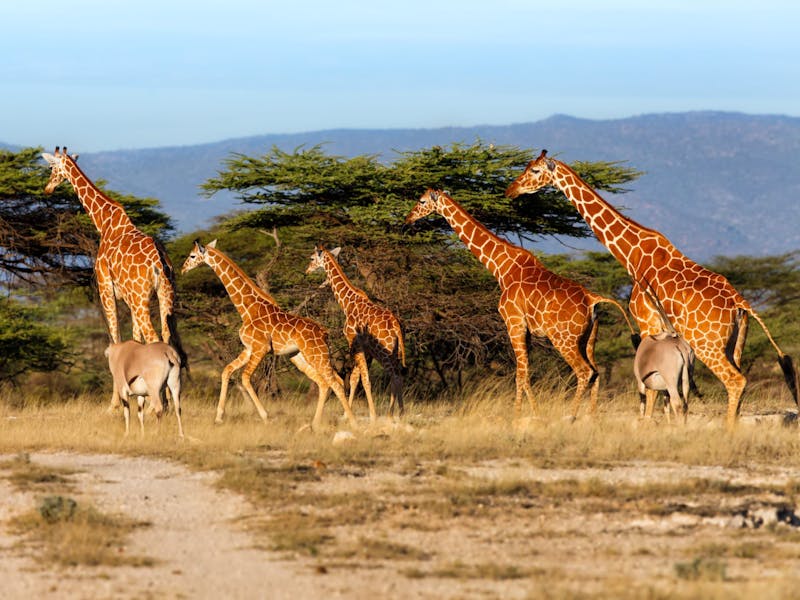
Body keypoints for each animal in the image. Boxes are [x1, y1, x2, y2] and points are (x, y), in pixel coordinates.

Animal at [180, 239, 358, 430]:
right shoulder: (249, 348)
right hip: (300, 357)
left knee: (336, 383)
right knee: (325, 382)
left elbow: (245, 378)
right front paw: (219, 417)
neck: (247, 310)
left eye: (192, 255)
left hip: (316, 354)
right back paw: (315, 424)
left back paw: (352, 422)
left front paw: (266, 416)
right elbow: (227, 370)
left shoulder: (261, 347)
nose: (182, 269)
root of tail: (325, 333)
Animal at [305, 245, 405, 421]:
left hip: (384, 351)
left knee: (394, 376)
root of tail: (396, 325)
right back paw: (399, 413)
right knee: (398, 375)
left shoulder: (353, 340)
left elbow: (361, 379)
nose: (306, 271)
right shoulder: (364, 347)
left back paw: (391, 414)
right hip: (394, 351)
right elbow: (356, 378)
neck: (346, 302)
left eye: (311, 258)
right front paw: (347, 413)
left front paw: (370, 414)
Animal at [405, 189, 636, 420]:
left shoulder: (513, 323)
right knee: (596, 372)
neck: (501, 267)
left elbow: (520, 375)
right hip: (589, 338)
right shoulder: (527, 331)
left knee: (584, 371)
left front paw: (517, 416)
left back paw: (571, 415)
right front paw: (535, 412)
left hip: (564, 339)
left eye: (422, 201)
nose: (408, 218)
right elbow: (526, 373)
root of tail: (591, 299)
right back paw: (592, 416)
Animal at [506, 150, 798, 428]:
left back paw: (727, 432)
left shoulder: (647, 321)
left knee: (735, 381)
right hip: (734, 343)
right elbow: (668, 393)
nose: (511, 190)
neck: (632, 255)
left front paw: (647, 423)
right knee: (738, 381)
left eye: (534, 170)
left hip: (707, 343)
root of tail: (739, 302)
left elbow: (651, 383)